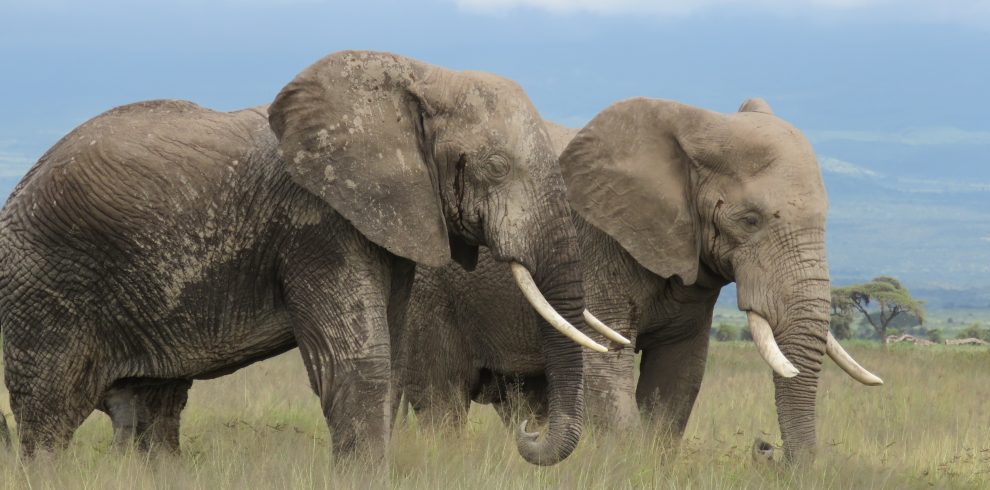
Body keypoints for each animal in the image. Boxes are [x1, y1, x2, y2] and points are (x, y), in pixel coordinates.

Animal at [396, 95, 884, 464]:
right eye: (749, 219)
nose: (764, 447)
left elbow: (679, 376)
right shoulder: (597, 245)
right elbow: (604, 364)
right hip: (429, 291)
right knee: (441, 398)